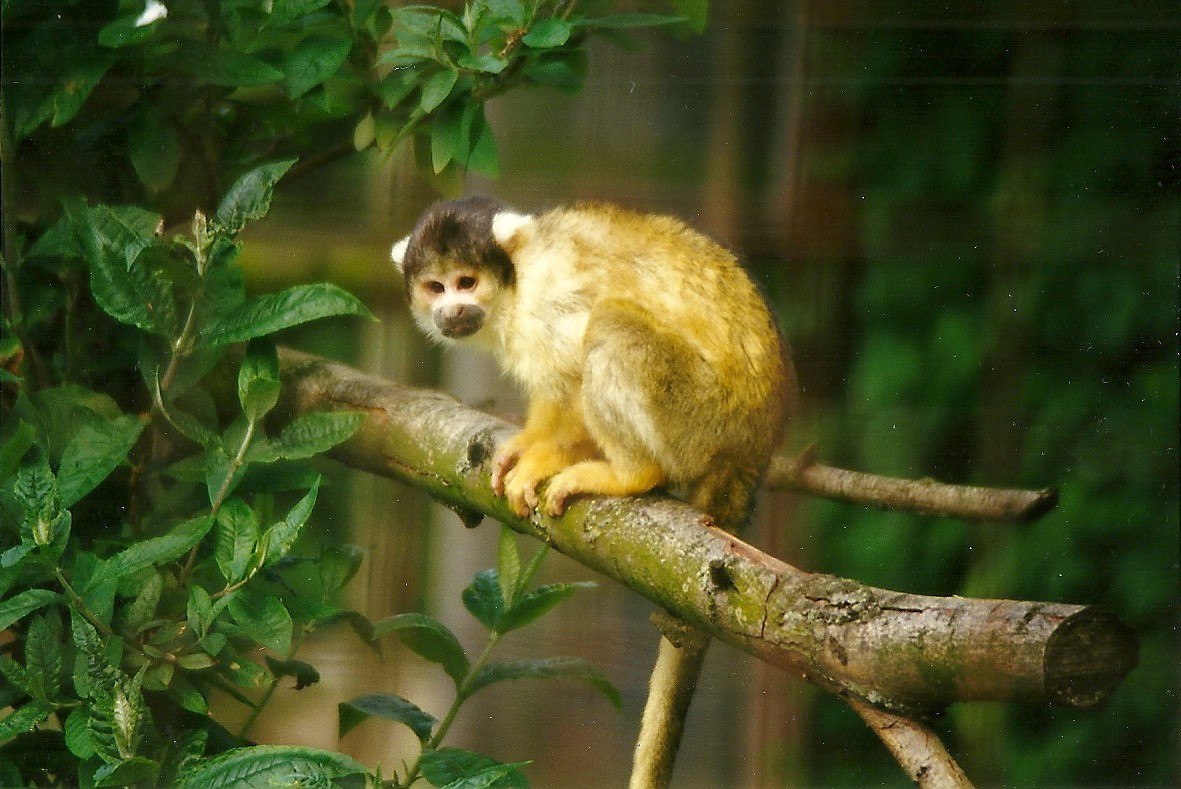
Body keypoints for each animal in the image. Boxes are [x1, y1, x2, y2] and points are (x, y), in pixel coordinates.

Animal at [391, 196, 796, 788]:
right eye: (436, 287)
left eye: (467, 282)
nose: (452, 310)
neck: (515, 287)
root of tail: (751, 452)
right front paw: (525, 445)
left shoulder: (548, 299)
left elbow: (573, 362)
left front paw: (545, 458)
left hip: (701, 421)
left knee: (609, 324)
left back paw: (631, 473)